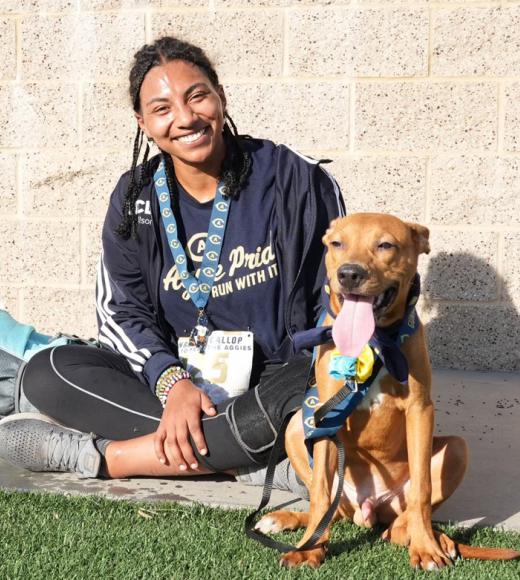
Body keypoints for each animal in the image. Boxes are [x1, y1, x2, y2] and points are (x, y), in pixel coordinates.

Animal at [256, 214, 520, 572]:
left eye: (385, 245)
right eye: (336, 243)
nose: (349, 274)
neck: (374, 341)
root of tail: (368, 508)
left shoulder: (420, 409)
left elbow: (422, 487)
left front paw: (425, 548)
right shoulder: (325, 416)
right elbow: (321, 491)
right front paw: (309, 550)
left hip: (456, 450)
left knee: (401, 518)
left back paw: (431, 539)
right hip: (299, 426)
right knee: (328, 509)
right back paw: (287, 520)